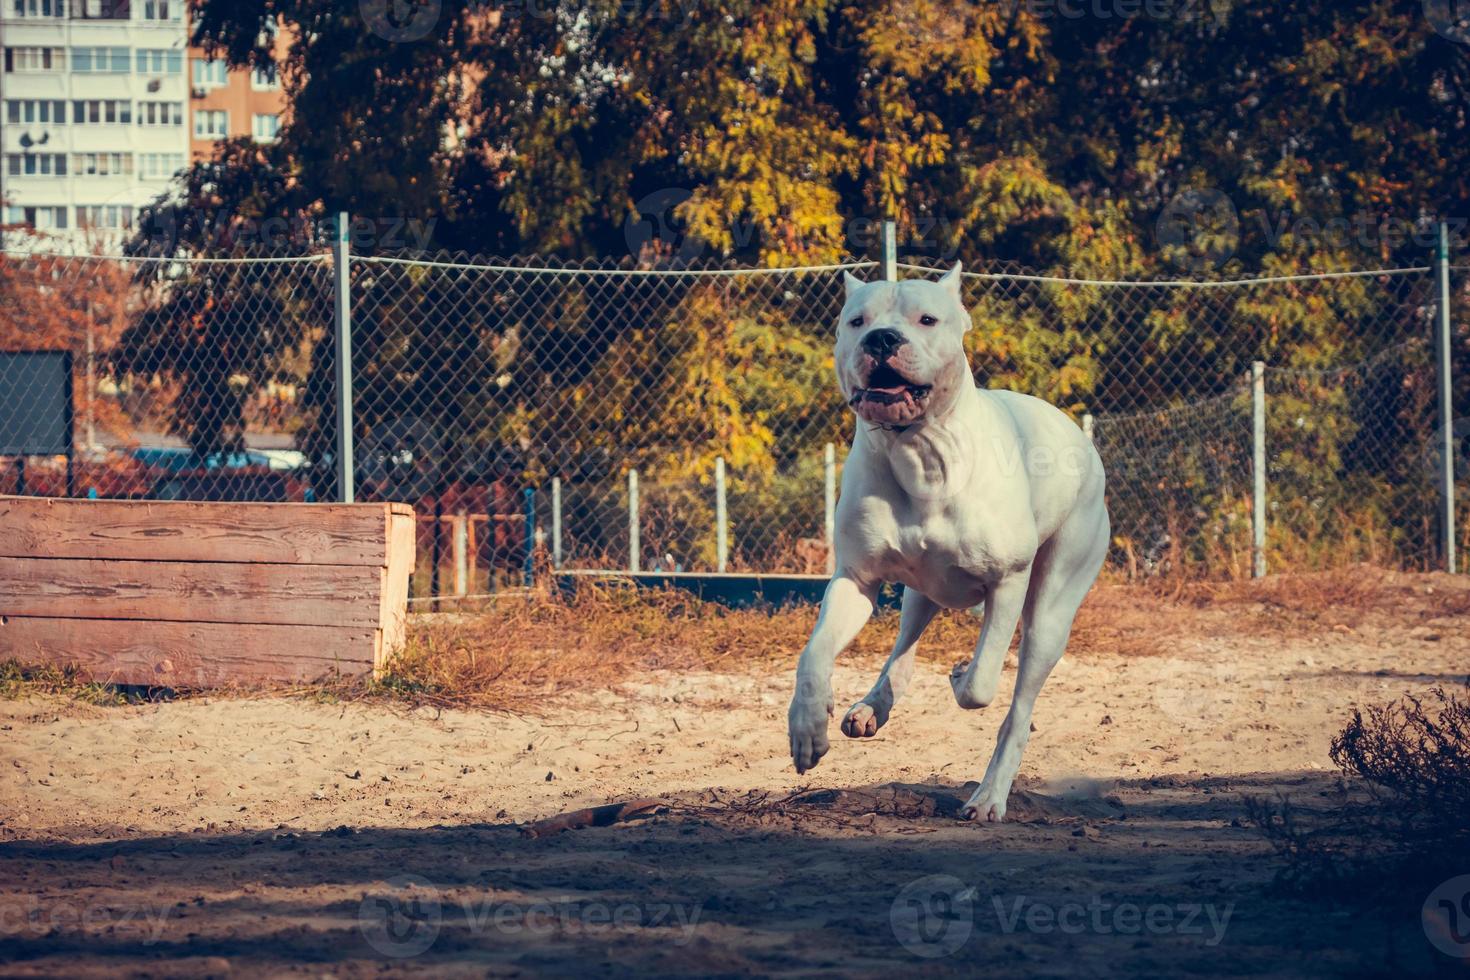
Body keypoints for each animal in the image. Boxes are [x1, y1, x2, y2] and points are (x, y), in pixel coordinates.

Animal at [787, 264, 1105, 822]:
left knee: (1016, 707)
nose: (882, 338)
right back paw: (871, 707)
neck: (919, 449)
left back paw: (989, 796)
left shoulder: (1007, 582)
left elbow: (980, 687)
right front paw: (807, 727)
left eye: (927, 319)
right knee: (903, 649)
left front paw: (962, 676)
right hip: (921, 591)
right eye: (856, 321)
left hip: (1050, 615)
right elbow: (815, 653)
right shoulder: (856, 580)